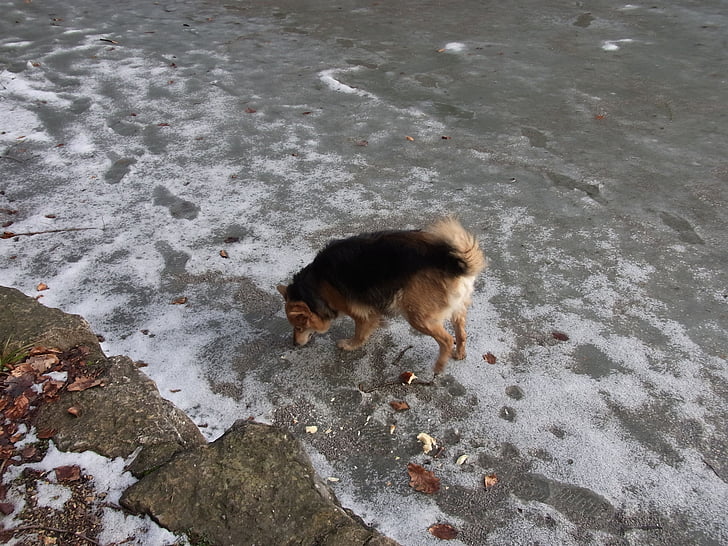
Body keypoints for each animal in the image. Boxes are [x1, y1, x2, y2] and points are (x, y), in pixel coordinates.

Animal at [276, 217, 486, 374]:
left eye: (299, 327)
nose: (294, 344)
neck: (316, 285)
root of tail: (450, 261)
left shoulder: (359, 312)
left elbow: (360, 332)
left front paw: (350, 345)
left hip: (418, 317)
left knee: (447, 339)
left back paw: (440, 365)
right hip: (456, 308)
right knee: (461, 333)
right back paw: (459, 353)